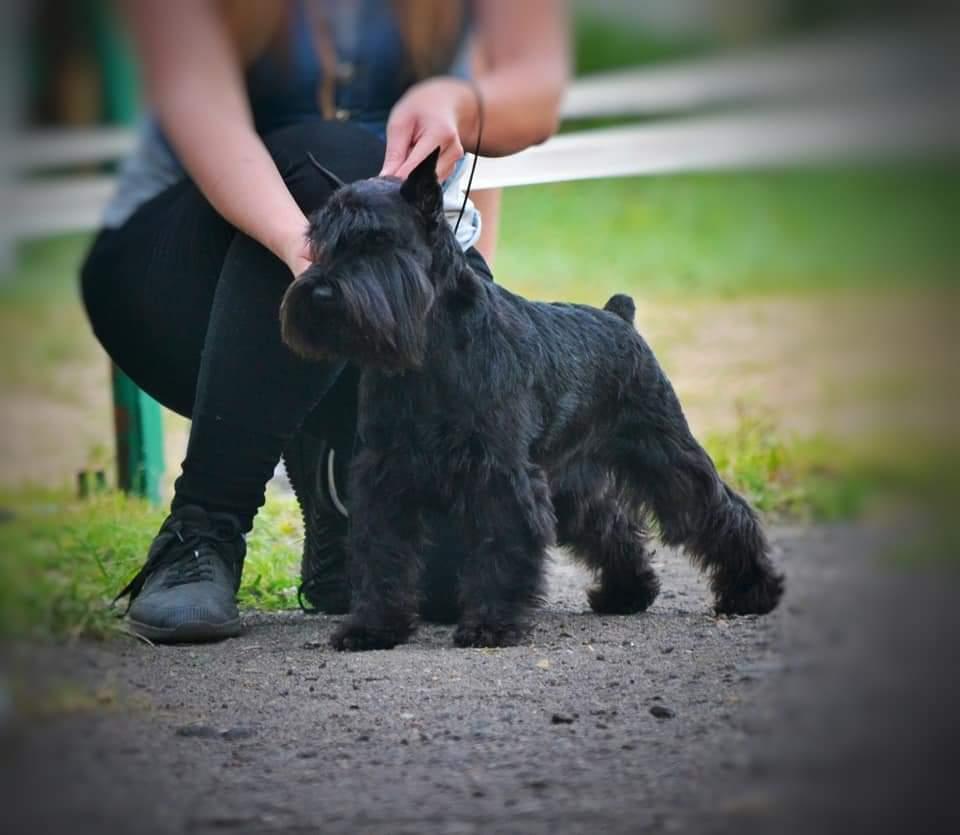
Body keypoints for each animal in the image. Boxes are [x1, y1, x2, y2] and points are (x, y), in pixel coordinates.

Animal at [280, 148, 784, 651]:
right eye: (319, 241)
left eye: (377, 240)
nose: (319, 291)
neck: (430, 349)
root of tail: (619, 317)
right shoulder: (385, 473)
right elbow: (381, 552)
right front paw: (373, 626)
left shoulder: (499, 473)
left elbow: (500, 546)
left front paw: (490, 625)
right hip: (571, 478)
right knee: (610, 524)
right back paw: (626, 593)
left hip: (663, 454)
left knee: (721, 511)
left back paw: (752, 591)